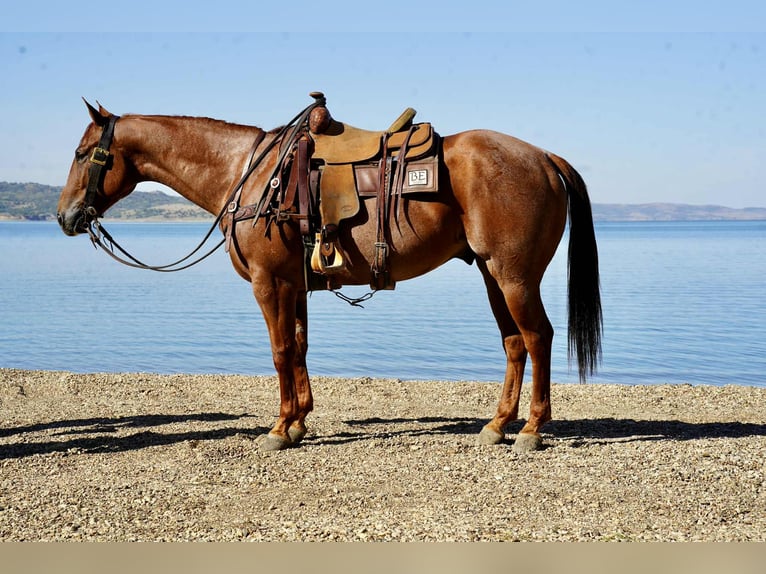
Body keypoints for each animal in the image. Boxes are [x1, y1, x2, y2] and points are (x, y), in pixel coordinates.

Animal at [57, 96, 602, 452]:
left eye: (82, 154)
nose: (64, 216)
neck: (253, 176)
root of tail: (543, 158)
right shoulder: (294, 284)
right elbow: (298, 347)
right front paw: (299, 420)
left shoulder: (269, 283)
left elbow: (279, 351)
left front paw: (279, 429)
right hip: (493, 275)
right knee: (514, 343)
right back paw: (497, 424)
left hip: (515, 276)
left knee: (537, 337)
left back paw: (531, 429)